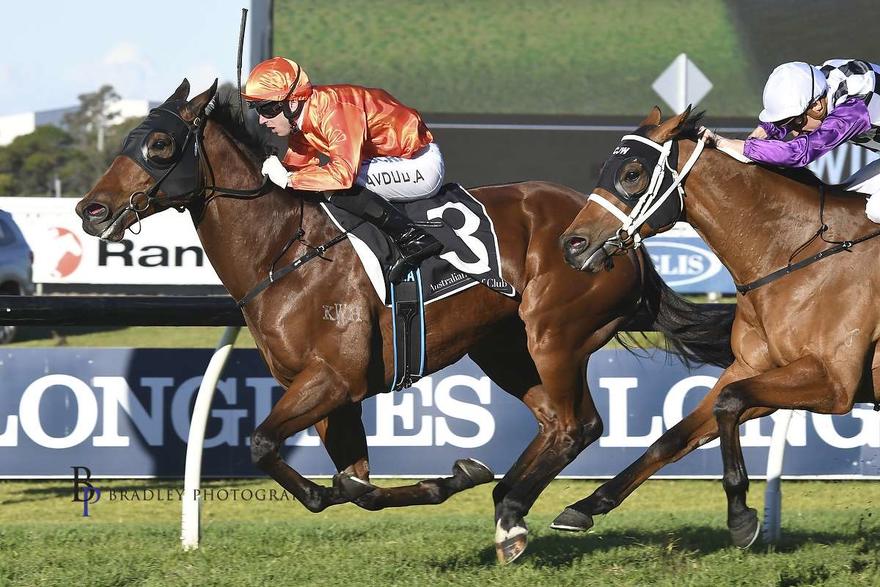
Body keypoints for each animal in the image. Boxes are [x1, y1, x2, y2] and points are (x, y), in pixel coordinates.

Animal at [75, 81, 730, 563]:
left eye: (160, 145)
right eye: (127, 139)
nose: (90, 210)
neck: (283, 253)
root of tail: (619, 232)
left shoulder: (333, 379)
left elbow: (268, 447)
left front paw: (452, 476)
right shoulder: (329, 395)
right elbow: (354, 487)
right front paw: (451, 478)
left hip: (554, 335)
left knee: (575, 426)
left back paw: (523, 509)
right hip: (504, 348)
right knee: (561, 426)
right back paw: (509, 512)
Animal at [557, 106, 880, 548]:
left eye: (632, 173)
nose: (572, 245)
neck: (796, 253)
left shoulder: (835, 384)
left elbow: (729, 402)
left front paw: (741, 513)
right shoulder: (755, 368)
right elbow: (675, 435)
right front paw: (587, 505)